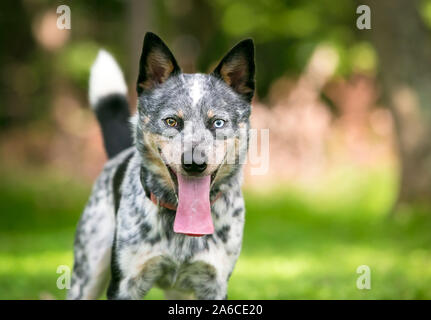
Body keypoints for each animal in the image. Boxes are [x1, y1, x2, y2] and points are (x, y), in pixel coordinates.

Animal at [68, 32, 255, 300]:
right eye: (171, 121)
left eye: (218, 123)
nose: (194, 163)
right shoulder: (124, 284)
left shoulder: (215, 285)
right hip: (87, 274)